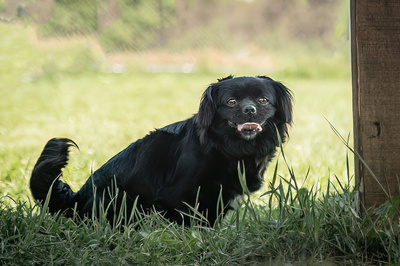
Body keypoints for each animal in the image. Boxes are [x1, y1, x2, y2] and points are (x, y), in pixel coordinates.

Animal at [29, 74, 292, 224]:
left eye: (263, 101)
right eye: (231, 102)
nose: (249, 110)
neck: (231, 148)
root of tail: (76, 201)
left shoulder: (219, 197)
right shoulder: (178, 195)